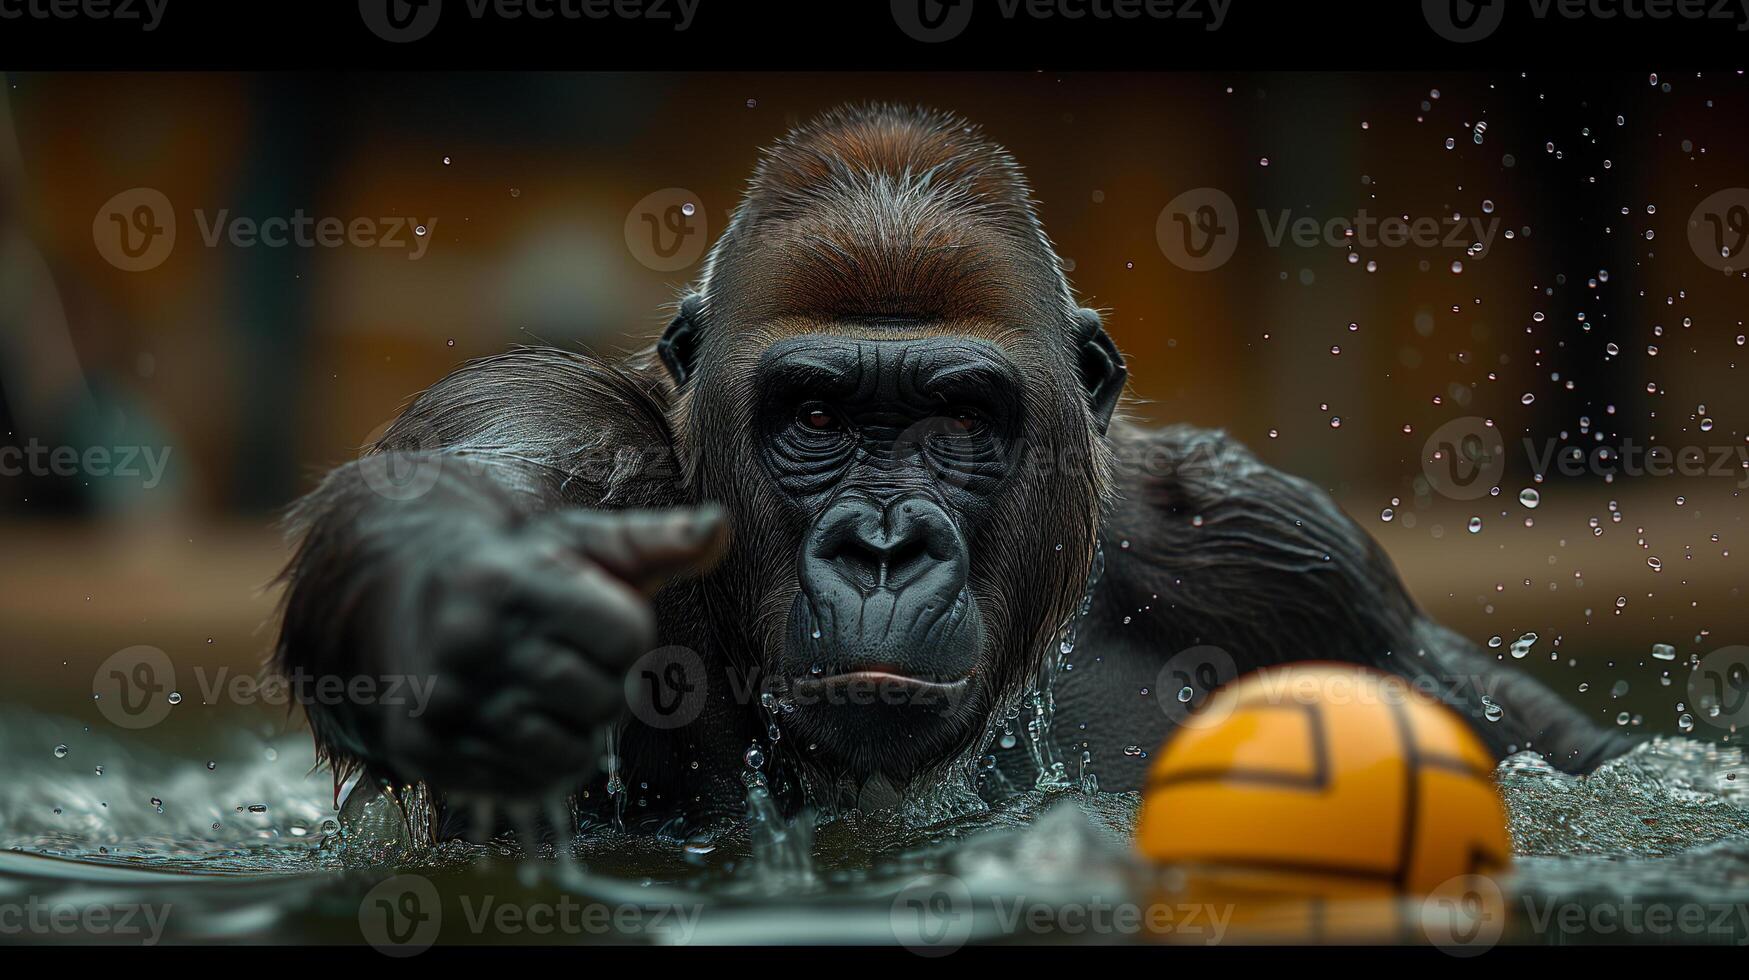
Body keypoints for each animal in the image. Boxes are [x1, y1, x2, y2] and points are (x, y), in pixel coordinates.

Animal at [269, 101, 1623, 833]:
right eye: (816, 412)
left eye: (961, 418)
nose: (883, 546)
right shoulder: (565, 427)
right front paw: (477, 612)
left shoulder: (1278, 552)